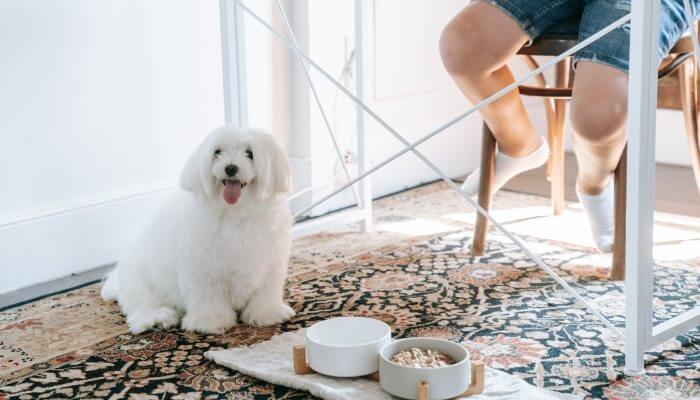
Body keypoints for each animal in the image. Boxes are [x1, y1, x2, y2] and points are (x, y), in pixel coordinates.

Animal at [100, 126, 292, 332]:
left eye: (249, 153)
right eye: (217, 152)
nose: (230, 168)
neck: (235, 213)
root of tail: (117, 278)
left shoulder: (270, 266)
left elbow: (265, 294)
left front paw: (267, 314)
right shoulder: (203, 269)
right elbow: (208, 298)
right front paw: (211, 322)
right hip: (142, 283)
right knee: (140, 305)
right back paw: (157, 317)